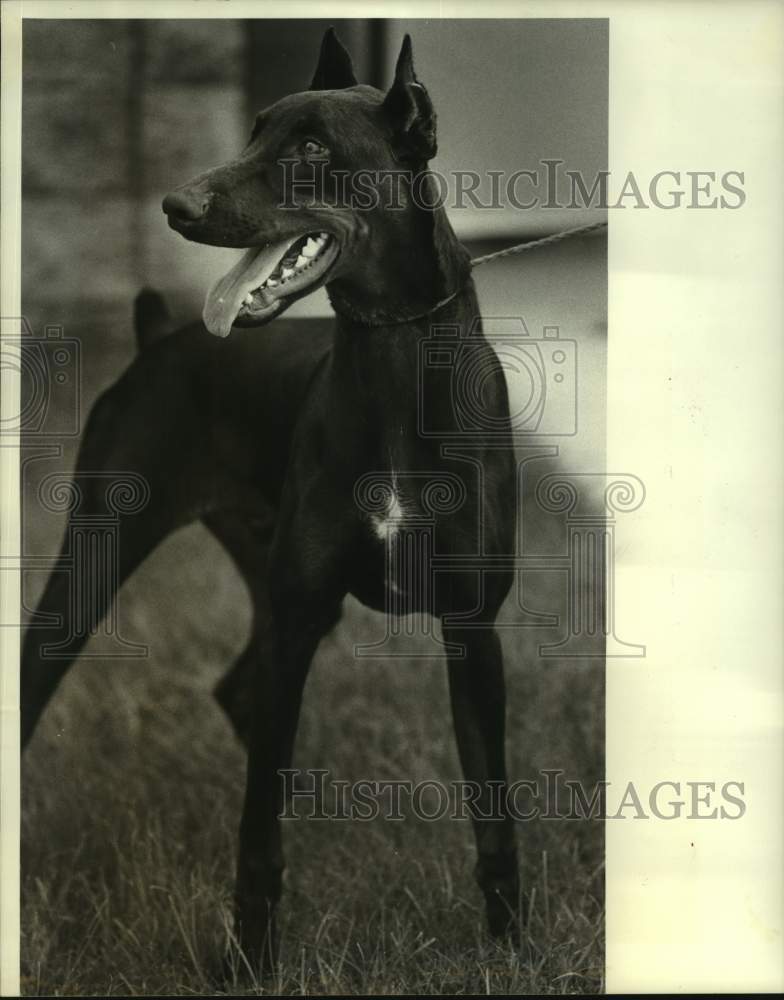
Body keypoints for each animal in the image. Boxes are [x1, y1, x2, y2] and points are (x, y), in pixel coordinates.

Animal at [19, 29, 520, 968]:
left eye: (314, 149)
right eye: (253, 131)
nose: (176, 204)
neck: (391, 359)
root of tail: (159, 338)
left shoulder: (473, 627)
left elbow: (494, 812)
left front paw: (511, 949)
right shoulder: (298, 614)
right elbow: (256, 828)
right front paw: (251, 959)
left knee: (244, 694)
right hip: (99, 552)